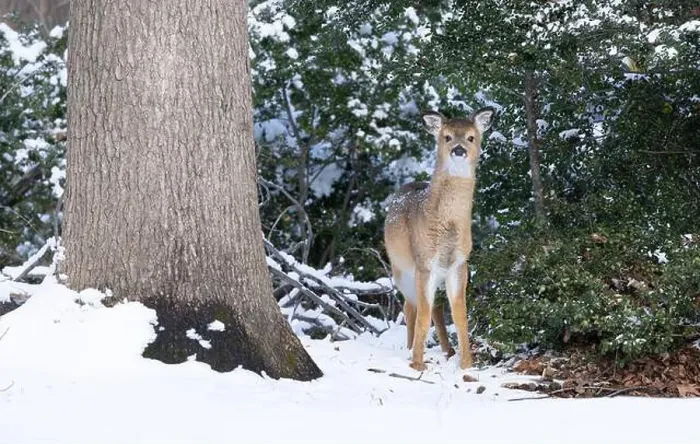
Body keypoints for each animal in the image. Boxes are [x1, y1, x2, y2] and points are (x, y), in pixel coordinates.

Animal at [383, 106, 495, 371]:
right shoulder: (424, 263)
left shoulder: (459, 264)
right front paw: (417, 364)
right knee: (411, 306)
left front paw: (466, 364)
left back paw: (447, 350)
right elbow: (423, 315)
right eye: (447, 137)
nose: (459, 149)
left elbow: (460, 315)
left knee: (435, 307)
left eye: (471, 137)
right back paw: (410, 348)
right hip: (401, 268)